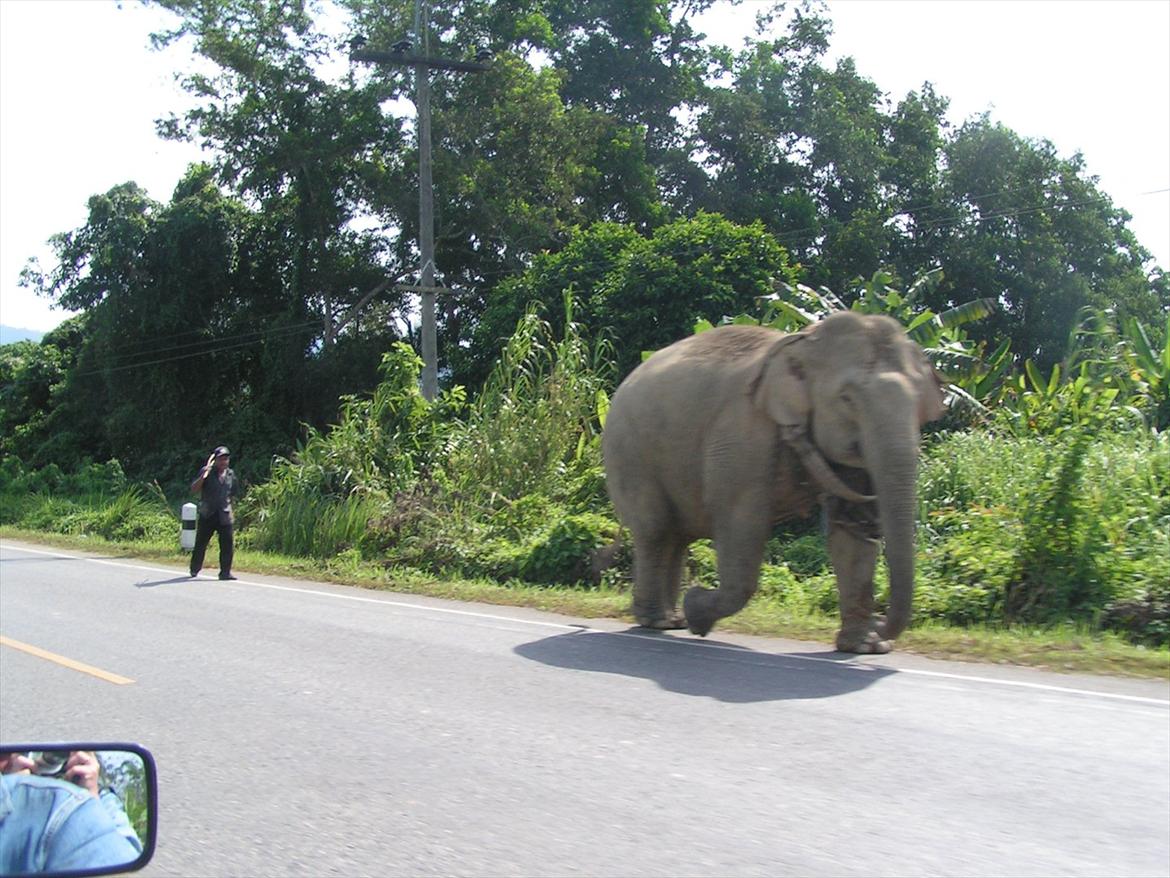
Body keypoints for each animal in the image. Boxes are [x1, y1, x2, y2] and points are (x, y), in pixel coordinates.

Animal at [601, 311, 945, 654]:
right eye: (847, 398)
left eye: (919, 402)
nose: (881, 626)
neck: (805, 341)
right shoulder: (741, 434)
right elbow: (741, 521)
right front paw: (697, 609)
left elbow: (851, 532)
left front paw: (863, 647)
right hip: (628, 452)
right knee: (655, 530)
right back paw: (658, 621)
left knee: (677, 536)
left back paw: (672, 621)